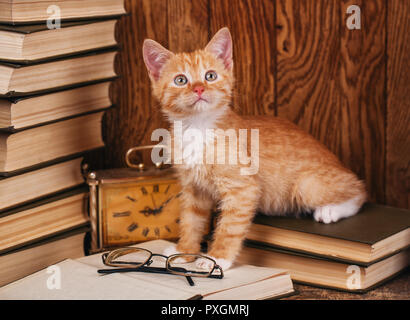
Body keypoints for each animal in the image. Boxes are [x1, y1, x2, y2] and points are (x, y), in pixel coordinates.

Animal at [143, 26, 366, 270]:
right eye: (181, 80)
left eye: (210, 76)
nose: (199, 88)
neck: (198, 127)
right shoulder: (194, 189)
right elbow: (191, 221)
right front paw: (183, 251)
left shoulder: (243, 189)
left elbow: (229, 227)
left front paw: (217, 258)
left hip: (308, 185)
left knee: (360, 191)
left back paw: (331, 209)